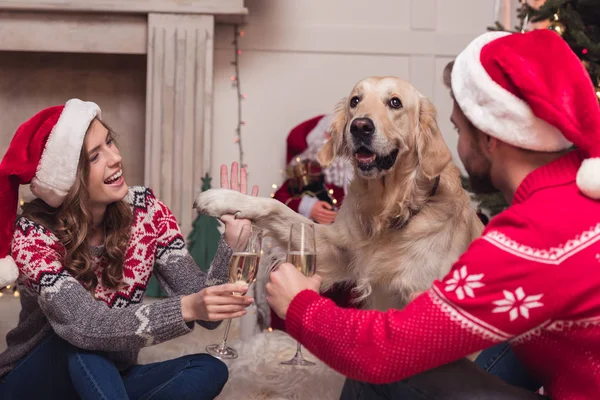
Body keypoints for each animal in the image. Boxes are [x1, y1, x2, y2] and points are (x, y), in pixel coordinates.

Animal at [196, 76, 482, 310]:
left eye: (395, 103)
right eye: (355, 100)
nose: (360, 126)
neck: (387, 211)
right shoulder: (334, 249)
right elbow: (278, 208)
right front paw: (225, 199)